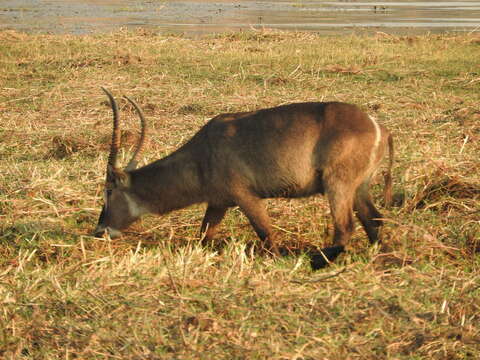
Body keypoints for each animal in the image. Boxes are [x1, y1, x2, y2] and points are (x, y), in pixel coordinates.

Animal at [94, 87, 394, 268]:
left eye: (108, 190)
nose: (99, 232)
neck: (202, 153)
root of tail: (379, 127)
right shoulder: (218, 202)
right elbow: (205, 234)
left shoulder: (245, 197)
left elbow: (265, 232)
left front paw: (275, 261)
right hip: (359, 188)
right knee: (374, 219)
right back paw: (383, 256)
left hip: (338, 184)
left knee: (345, 227)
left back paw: (318, 261)